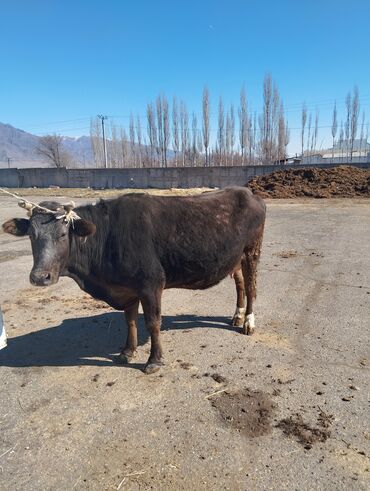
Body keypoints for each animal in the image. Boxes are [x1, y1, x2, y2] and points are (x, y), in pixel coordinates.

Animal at [1, 187, 264, 372]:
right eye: (31, 235)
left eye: (64, 234)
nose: (40, 277)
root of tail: (247, 192)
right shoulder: (127, 289)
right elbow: (129, 321)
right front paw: (127, 351)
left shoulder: (151, 283)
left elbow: (153, 322)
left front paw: (154, 360)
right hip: (234, 258)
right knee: (240, 284)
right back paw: (237, 315)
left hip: (252, 251)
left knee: (251, 287)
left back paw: (249, 322)